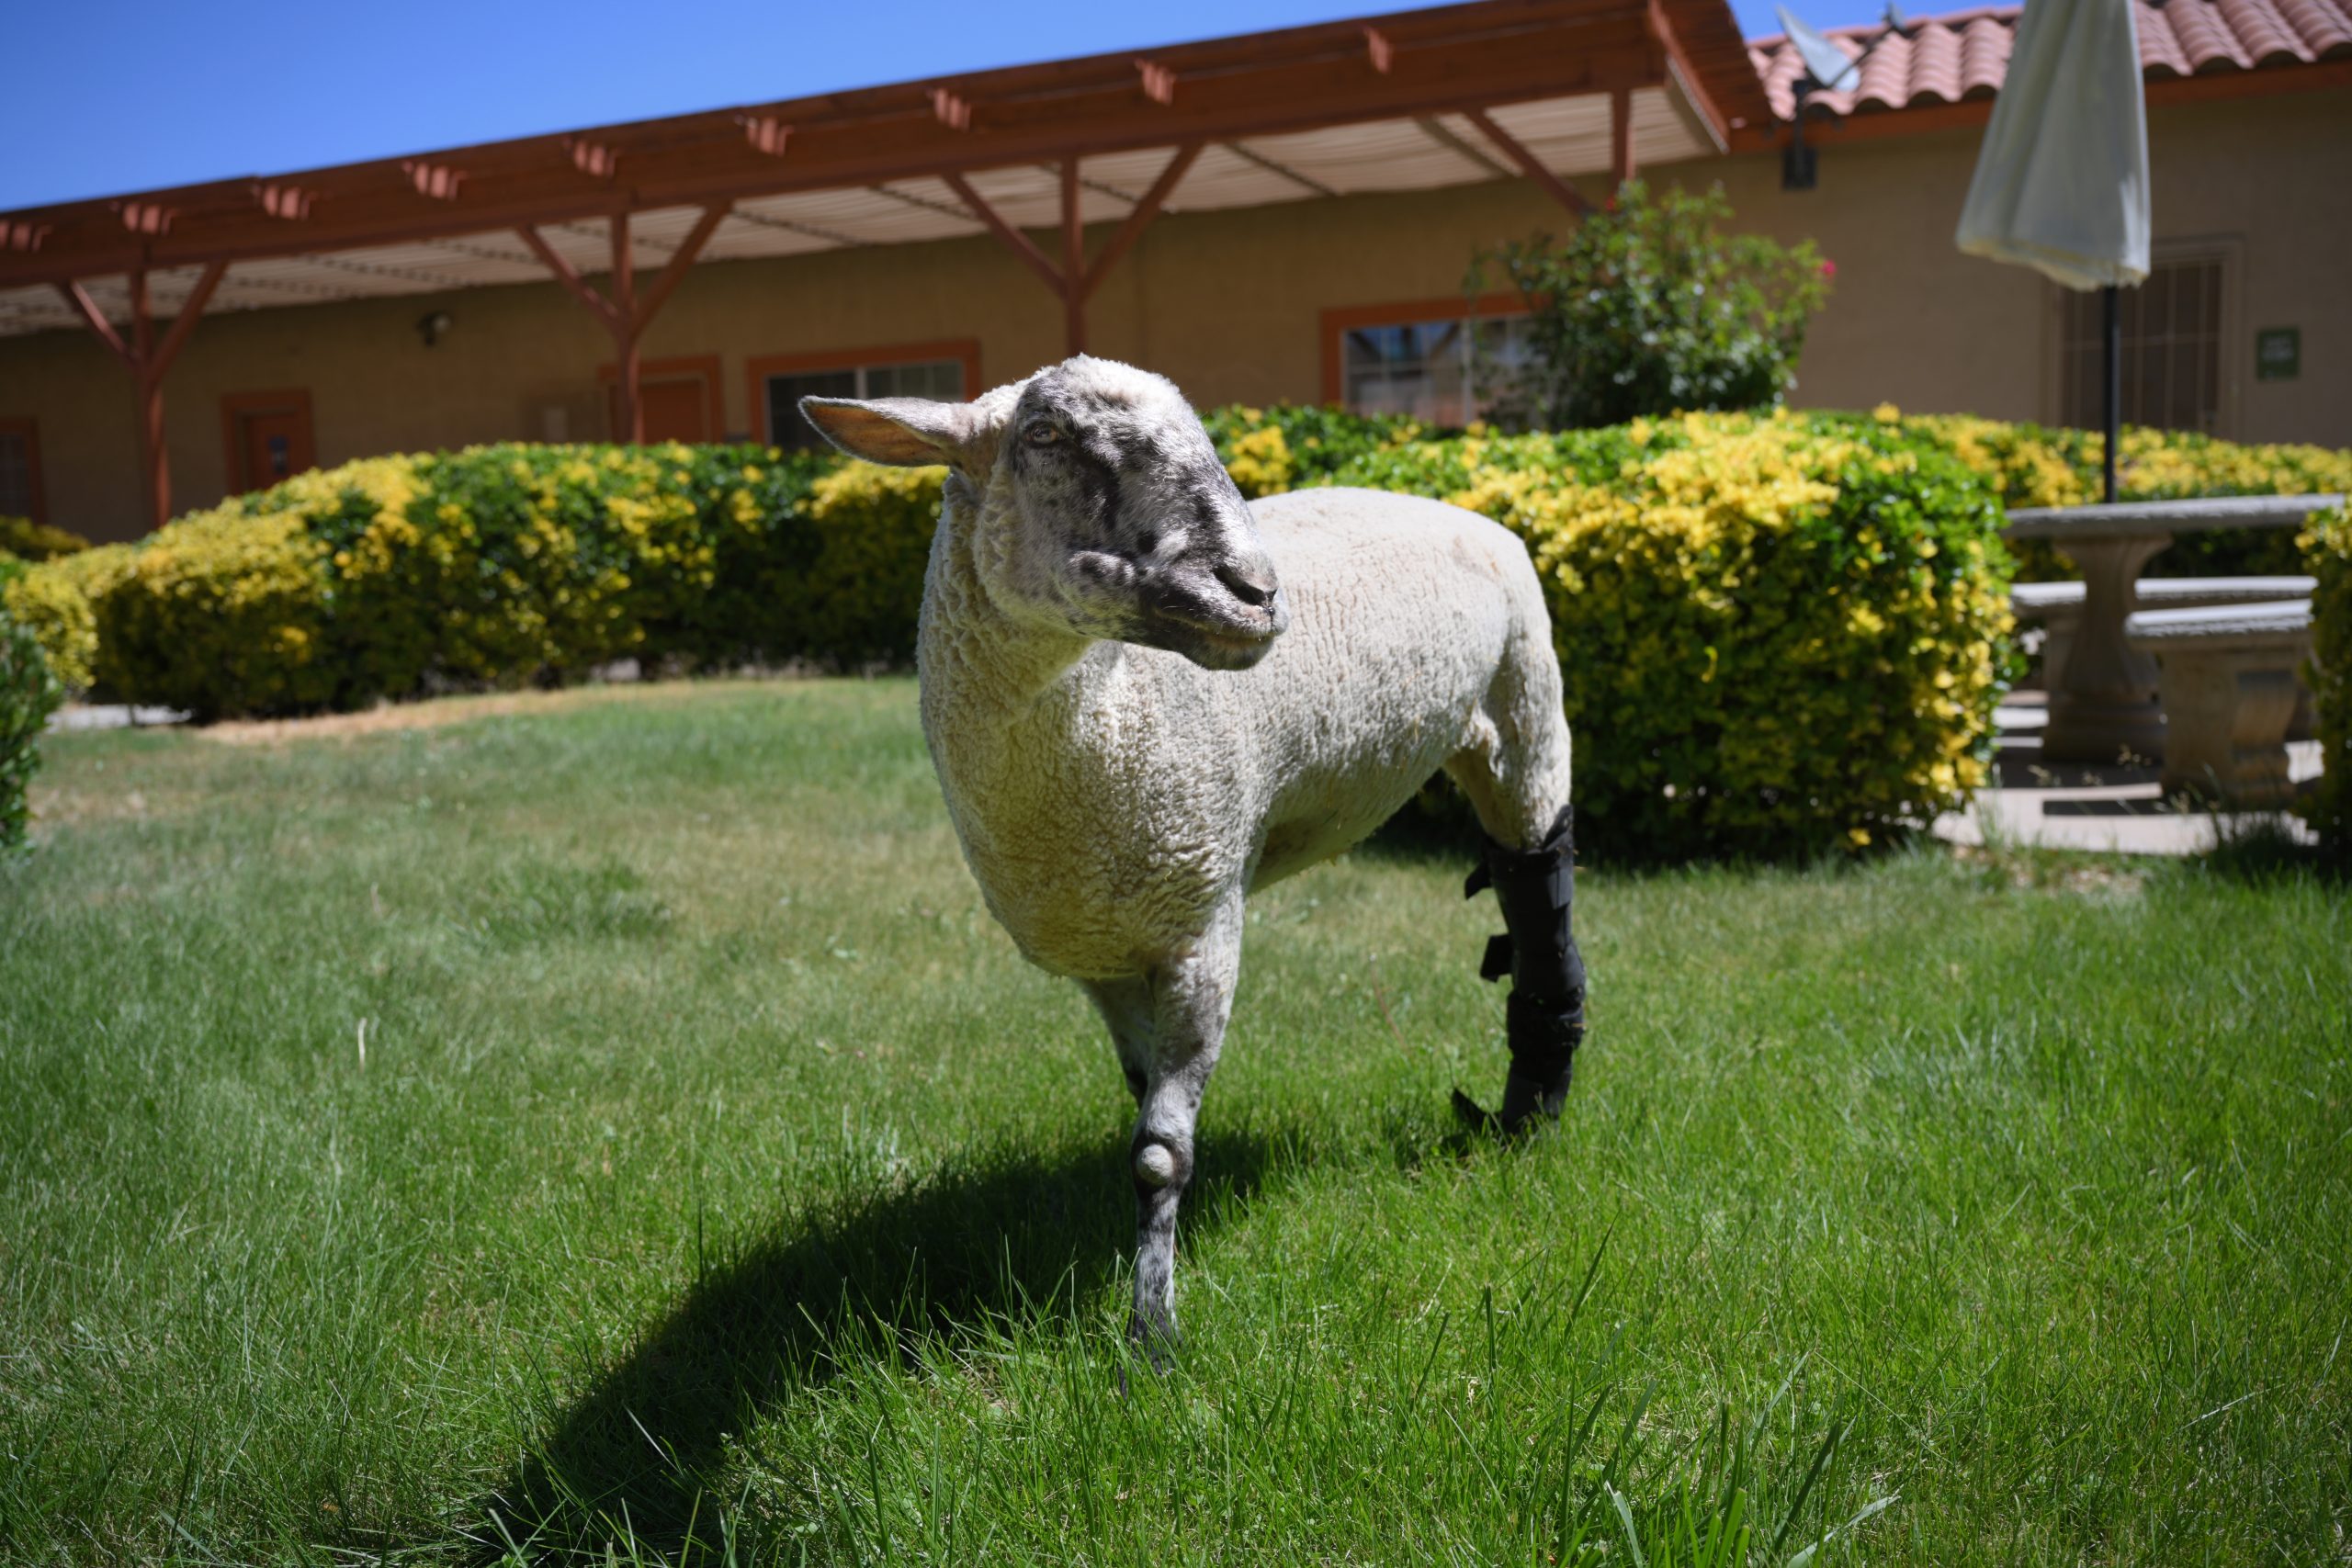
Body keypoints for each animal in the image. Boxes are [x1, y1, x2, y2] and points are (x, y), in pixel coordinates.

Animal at [799, 359, 1589, 1354]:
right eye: (1044, 437)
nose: (1252, 593)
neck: (1113, 711)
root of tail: (1461, 508)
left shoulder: (1202, 927)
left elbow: (1158, 1153)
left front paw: (1153, 1333)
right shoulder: (1106, 957)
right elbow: (1142, 1104)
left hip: (1526, 705)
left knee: (1539, 891)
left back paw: (1530, 1109)